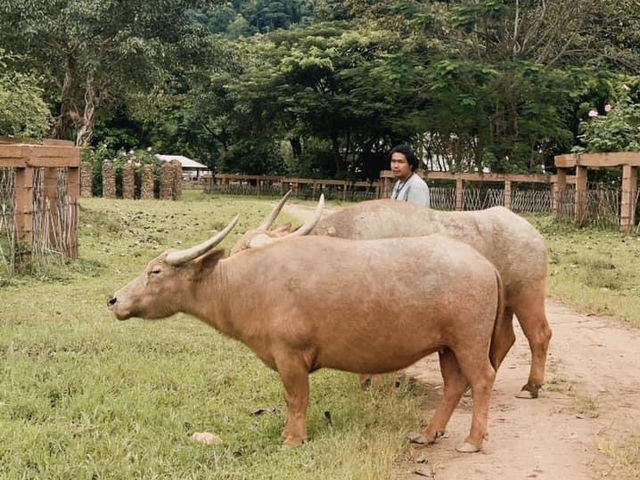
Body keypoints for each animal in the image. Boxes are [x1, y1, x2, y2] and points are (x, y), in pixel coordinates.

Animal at [107, 216, 512, 452]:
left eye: (155, 271)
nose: (114, 299)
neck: (246, 285)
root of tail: (485, 265)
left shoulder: (290, 357)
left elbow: (296, 399)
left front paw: (292, 438)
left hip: (469, 341)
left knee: (482, 378)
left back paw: (473, 440)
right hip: (447, 346)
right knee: (455, 384)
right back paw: (428, 434)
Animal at [232, 193, 552, 400]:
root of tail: (531, 232)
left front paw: (369, 383)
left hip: (527, 293)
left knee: (539, 334)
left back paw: (532, 386)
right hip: (504, 304)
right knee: (505, 339)